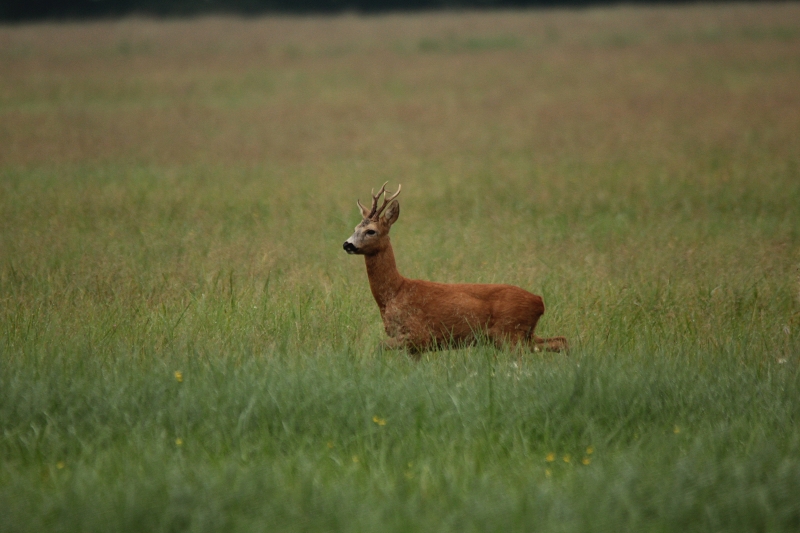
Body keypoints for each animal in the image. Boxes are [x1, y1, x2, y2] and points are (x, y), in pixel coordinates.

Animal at [344, 183, 568, 358]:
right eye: (355, 228)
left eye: (371, 231)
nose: (347, 244)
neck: (395, 292)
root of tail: (539, 301)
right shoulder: (415, 347)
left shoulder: (418, 334)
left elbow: (378, 346)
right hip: (523, 334)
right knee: (561, 341)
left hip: (509, 333)